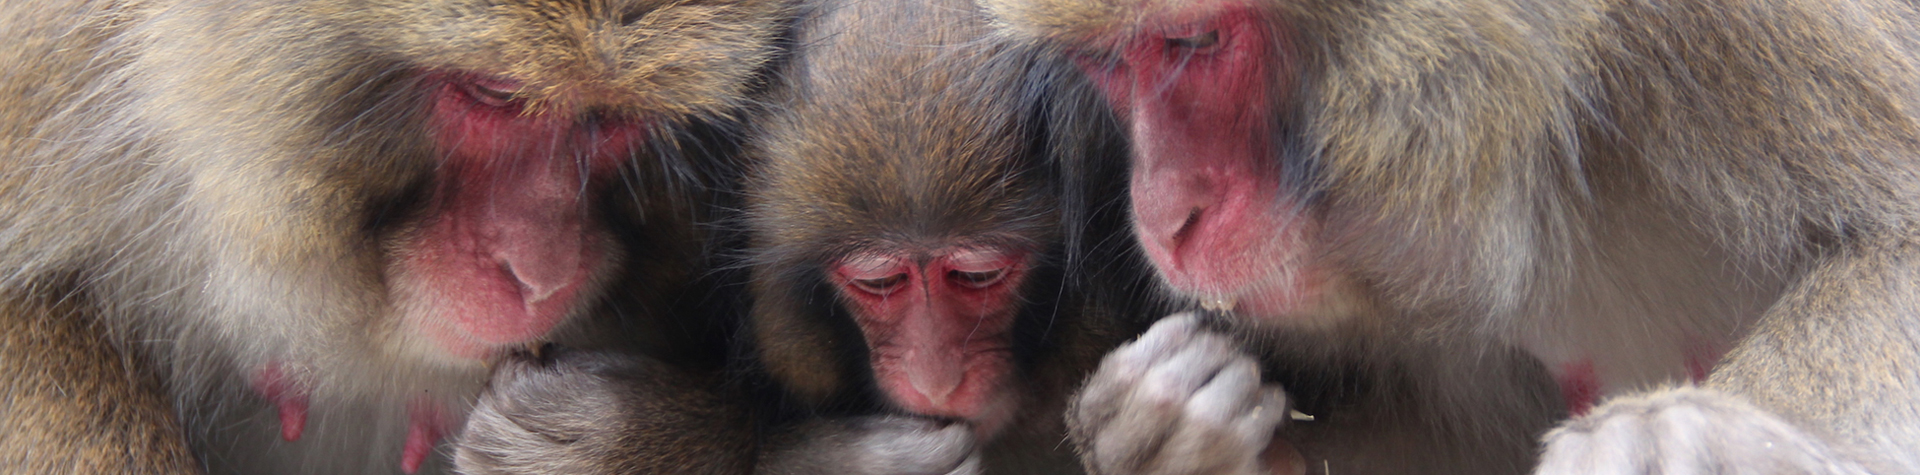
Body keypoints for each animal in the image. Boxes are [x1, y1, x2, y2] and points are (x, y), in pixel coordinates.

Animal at [980, 0, 1920, 474]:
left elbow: (1894, 243)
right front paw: (1168, 433)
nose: (1163, 215)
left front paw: (1698, 442)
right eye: (1110, 65)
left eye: (1192, 41)